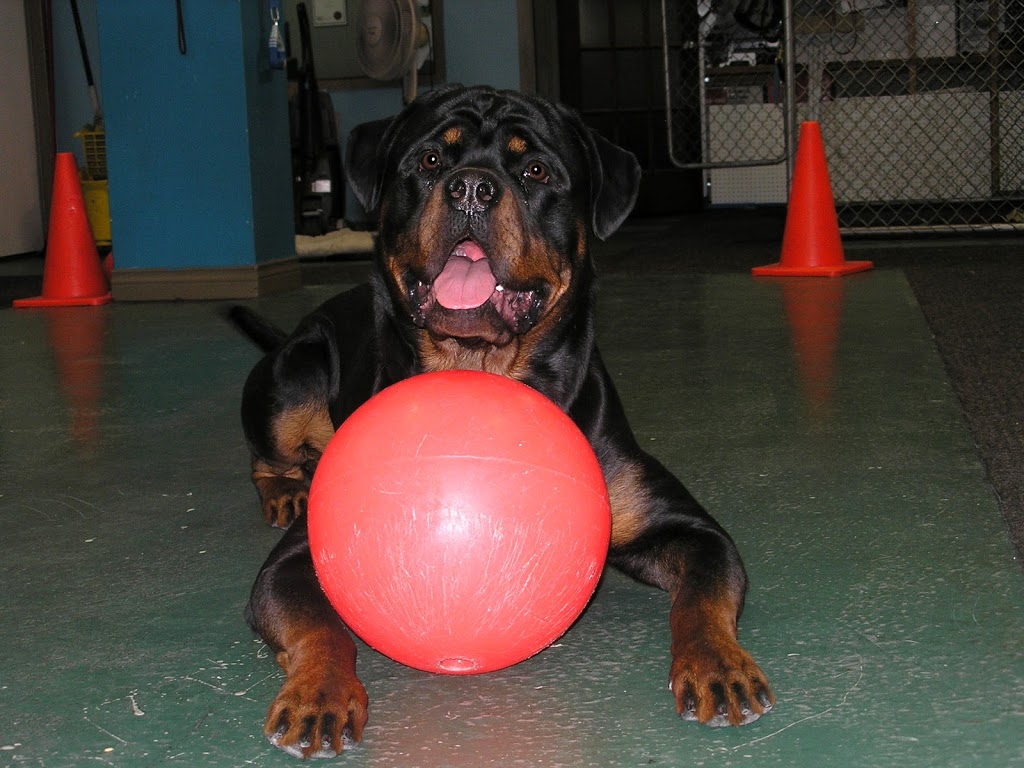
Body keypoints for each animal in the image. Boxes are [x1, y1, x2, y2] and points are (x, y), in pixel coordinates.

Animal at [232, 83, 770, 757]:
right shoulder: (293, 561)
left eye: (534, 171)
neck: (484, 365)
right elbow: (320, 627)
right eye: (430, 160)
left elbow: (702, 597)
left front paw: (718, 665)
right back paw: (285, 490)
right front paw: (320, 693)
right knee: (268, 452)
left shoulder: (692, 530)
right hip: (293, 376)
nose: (471, 187)